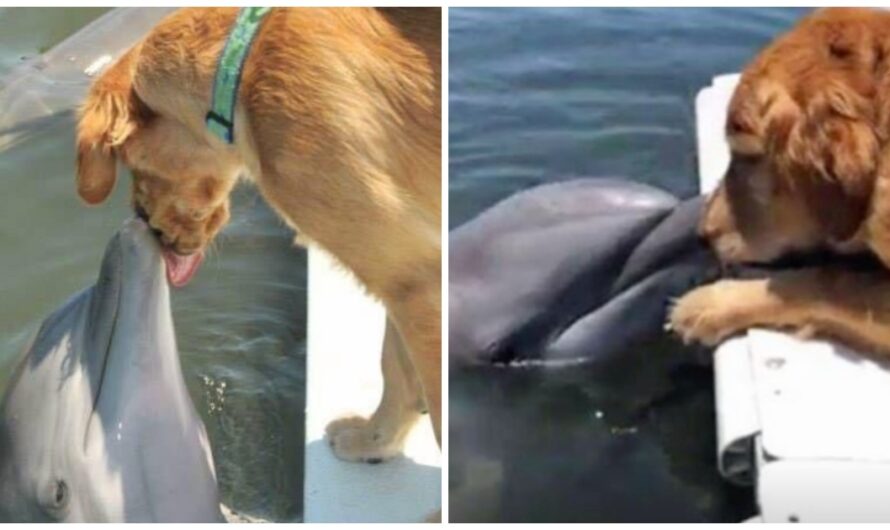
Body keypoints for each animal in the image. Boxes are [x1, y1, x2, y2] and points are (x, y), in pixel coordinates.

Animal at [76, 7, 440, 474]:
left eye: (131, 162)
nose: (144, 222)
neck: (240, 69)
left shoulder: (416, 280)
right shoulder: (407, 272)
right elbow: (397, 369)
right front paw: (375, 442)